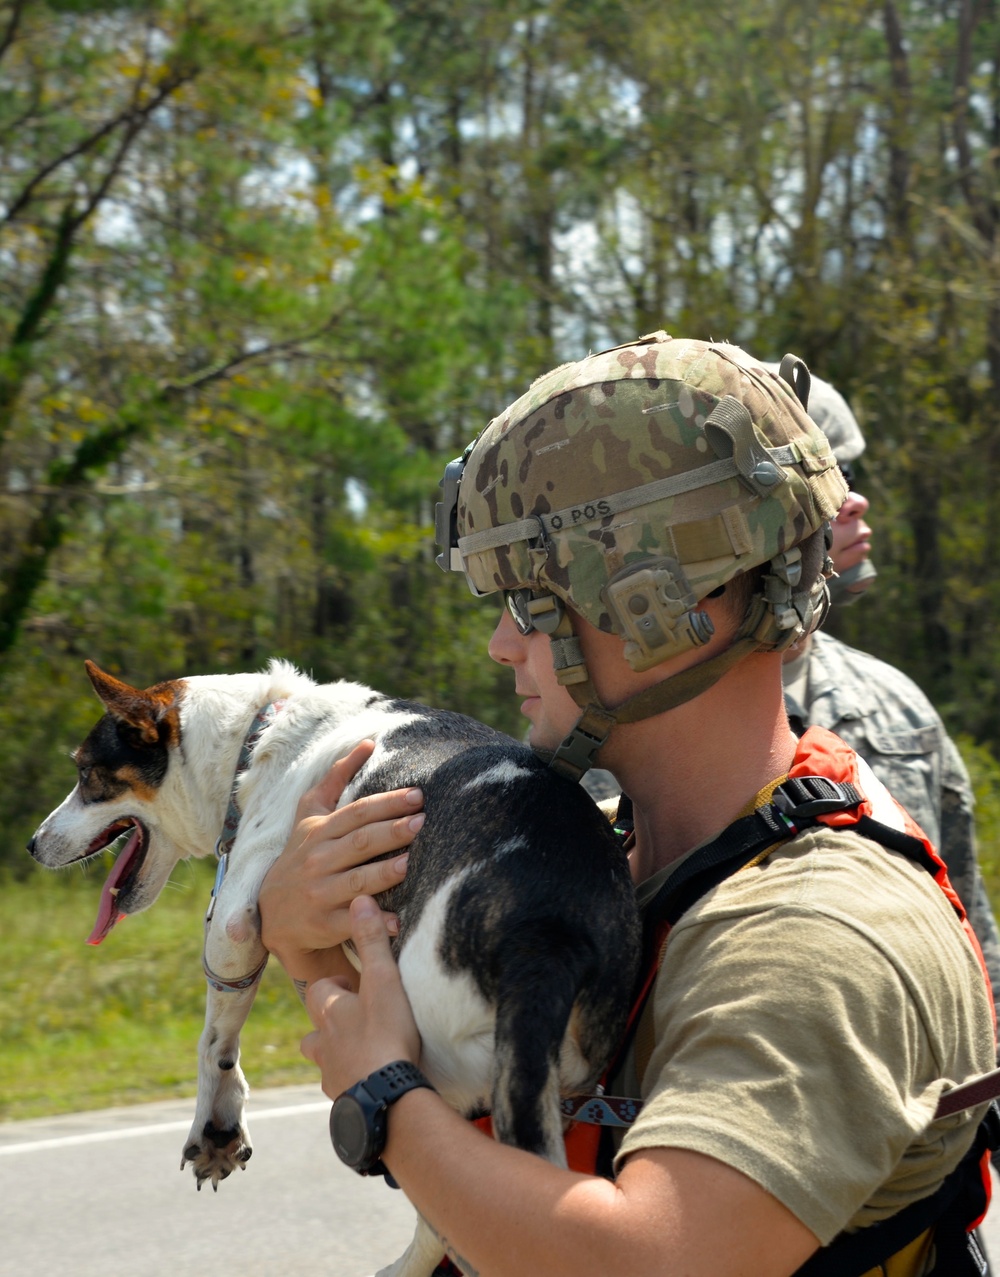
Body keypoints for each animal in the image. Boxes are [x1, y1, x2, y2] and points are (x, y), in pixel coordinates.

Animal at [33, 658, 641, 1277]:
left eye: (87, 775)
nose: (34, 845)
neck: (257, 734)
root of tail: (544, 935)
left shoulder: (233, 923)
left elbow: (215, 1041)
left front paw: (215, 1126)